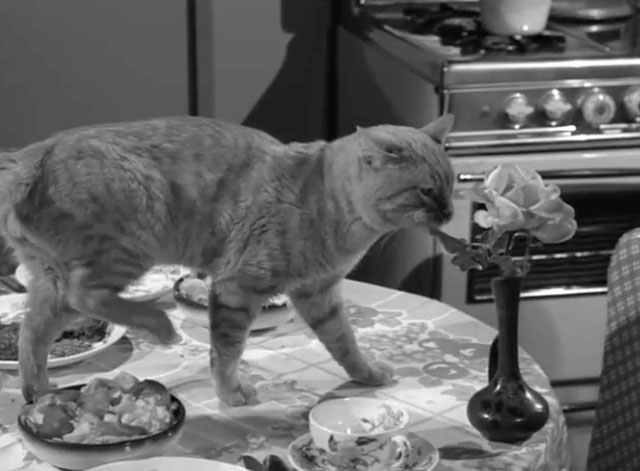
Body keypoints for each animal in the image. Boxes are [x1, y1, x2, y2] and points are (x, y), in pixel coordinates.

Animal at [2, 114, 458, 406]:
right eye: (425, 191)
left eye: (451, 184)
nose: (451, 212)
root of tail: (30, 156)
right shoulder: (239, 288)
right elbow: (227, 352)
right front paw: (231, 393)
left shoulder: (318, 294)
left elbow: (344, 343)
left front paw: (366, 376)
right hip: (127, 245)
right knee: (87, 296)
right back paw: (161, 326)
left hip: (51, 282)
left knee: (32, 334)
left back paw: (38, 394)